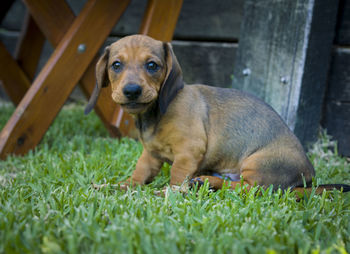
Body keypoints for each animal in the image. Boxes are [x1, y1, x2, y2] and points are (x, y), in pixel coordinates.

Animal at [85, 34, 350, 193]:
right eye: (116, 65)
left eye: (152, 65)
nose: (132, 91)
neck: (155, 115)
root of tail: (309, 173)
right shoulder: (150, 155)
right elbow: (138, 176)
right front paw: (112, 186)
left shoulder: (188, 152)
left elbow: (176, 178)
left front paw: (166, 193)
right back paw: (206, 181)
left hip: (256, 163)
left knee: (246, 188)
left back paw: (205, 182)